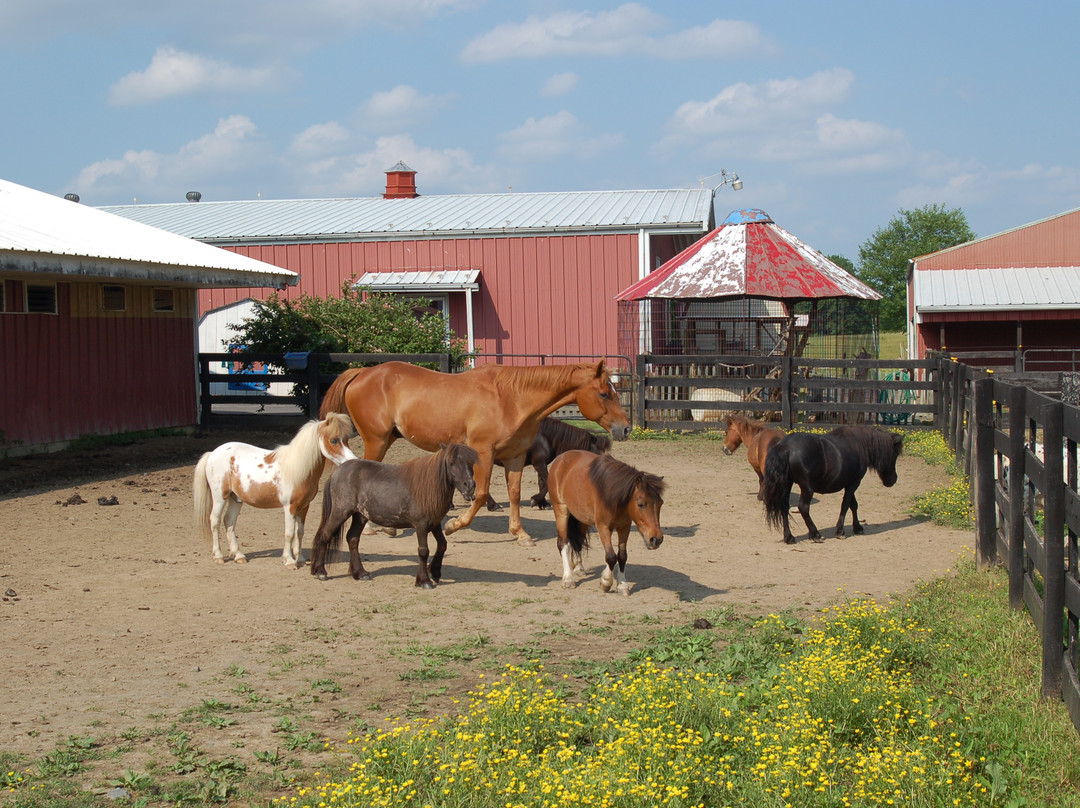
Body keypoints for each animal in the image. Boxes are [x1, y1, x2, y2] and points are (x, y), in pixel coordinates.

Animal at [194, 416, 358, 566]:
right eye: (334, 440)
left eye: (346, 439)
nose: (352, 460)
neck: (297, 469)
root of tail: (212, 453)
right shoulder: (289, 507)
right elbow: (289, 533)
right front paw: (290, 561)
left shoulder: (304, 506)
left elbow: (299, 532)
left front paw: (300, 558)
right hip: (219, 497)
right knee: (214, 521)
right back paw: (218, 556)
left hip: (236, 499)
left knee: (229, 521)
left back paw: (238, 555)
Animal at [308, 442, 477, 587]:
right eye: (452, 463)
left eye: (470, 463)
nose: (470, 486)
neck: (427, 487)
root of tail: (337, 472)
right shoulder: (421, 525)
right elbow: (423, 550)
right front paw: (424, 580)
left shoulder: (434, 523)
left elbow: (442, 545)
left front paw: (435, 572)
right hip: (340, 512)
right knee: (325, 535)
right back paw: (320, 572)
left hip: (360, 515)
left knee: (353, 538)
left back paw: (360, 573)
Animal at [315, 360, 630, 546]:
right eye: (604, 393)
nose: (625, 428)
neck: (510, 398)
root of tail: (362, 372)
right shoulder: (483, 453)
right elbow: (479, 494)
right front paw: (454, 525)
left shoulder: (515, 457)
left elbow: (513, 494)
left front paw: (520, 533)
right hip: (376, 441)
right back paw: (371, 528)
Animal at [548, 451, 665, 596]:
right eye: (640, 504)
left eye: (661, 503)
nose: (656, 539)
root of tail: (561, 458)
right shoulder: (603, 527)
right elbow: (610, 556)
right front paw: (606, 582)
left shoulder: (624, 527)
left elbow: (622, 556)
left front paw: (622, 585)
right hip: (561, 510)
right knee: (564, 543)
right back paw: (568, 578)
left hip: (582, 519)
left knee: (578, 542)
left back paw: (579, 568)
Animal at [760, 425, 902, 546]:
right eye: (894, 454)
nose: (893, 479)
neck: (858, 444)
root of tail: (786, 446)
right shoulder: (854, 483)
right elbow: (846, 505)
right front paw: (840, 531)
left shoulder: (849, 484)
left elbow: (853, 505)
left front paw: (857, 527)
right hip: (807, 487)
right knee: (803, 507)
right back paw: (815, 534)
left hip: (786, 484)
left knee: (784, 507)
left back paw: (789, 537)